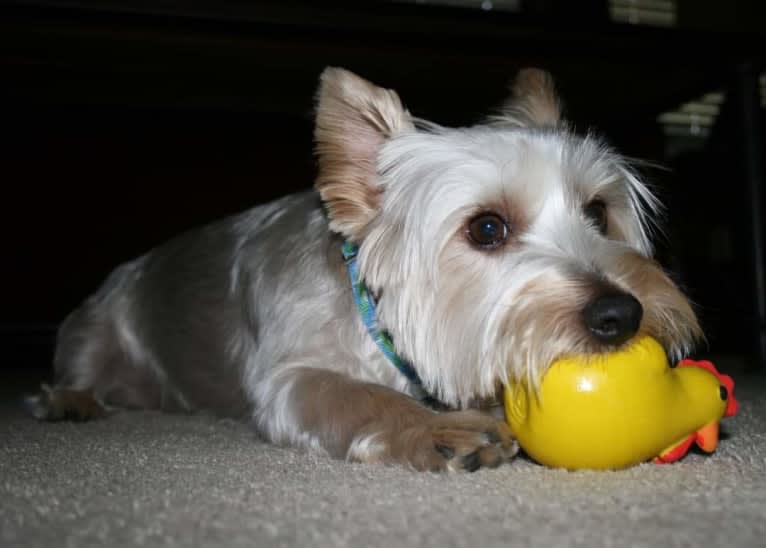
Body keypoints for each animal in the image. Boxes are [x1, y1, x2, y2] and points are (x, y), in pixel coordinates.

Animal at [27, 67, 704, 470]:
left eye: (598, 212)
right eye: (487, 228)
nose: (621, 315)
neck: (371, 314)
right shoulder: (291, 380)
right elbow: (358, 395)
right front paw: (440, 429)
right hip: (92, 329)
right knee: (77, 371)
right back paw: (71, 401)